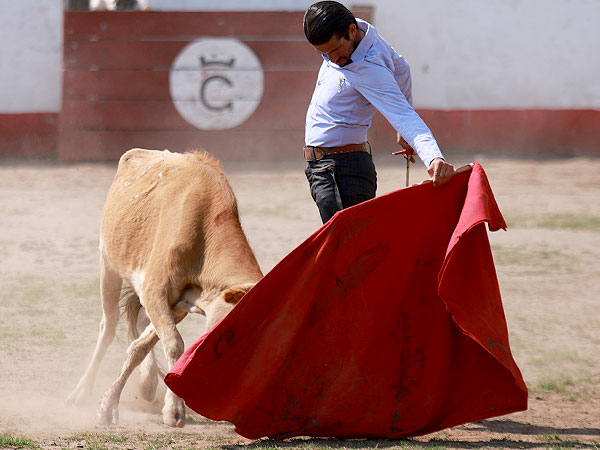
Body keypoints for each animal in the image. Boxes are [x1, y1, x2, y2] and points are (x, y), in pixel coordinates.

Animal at [67, 149, 262, 428]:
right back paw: (82, 392)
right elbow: (172, 344)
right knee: (108, 327)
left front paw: (112, 402)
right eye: (230, 332)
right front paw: (173, 410)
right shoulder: (155, 290)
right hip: (108, 266)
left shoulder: (175, 303)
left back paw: (147, 383)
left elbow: (143, 345)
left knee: (138, 324)